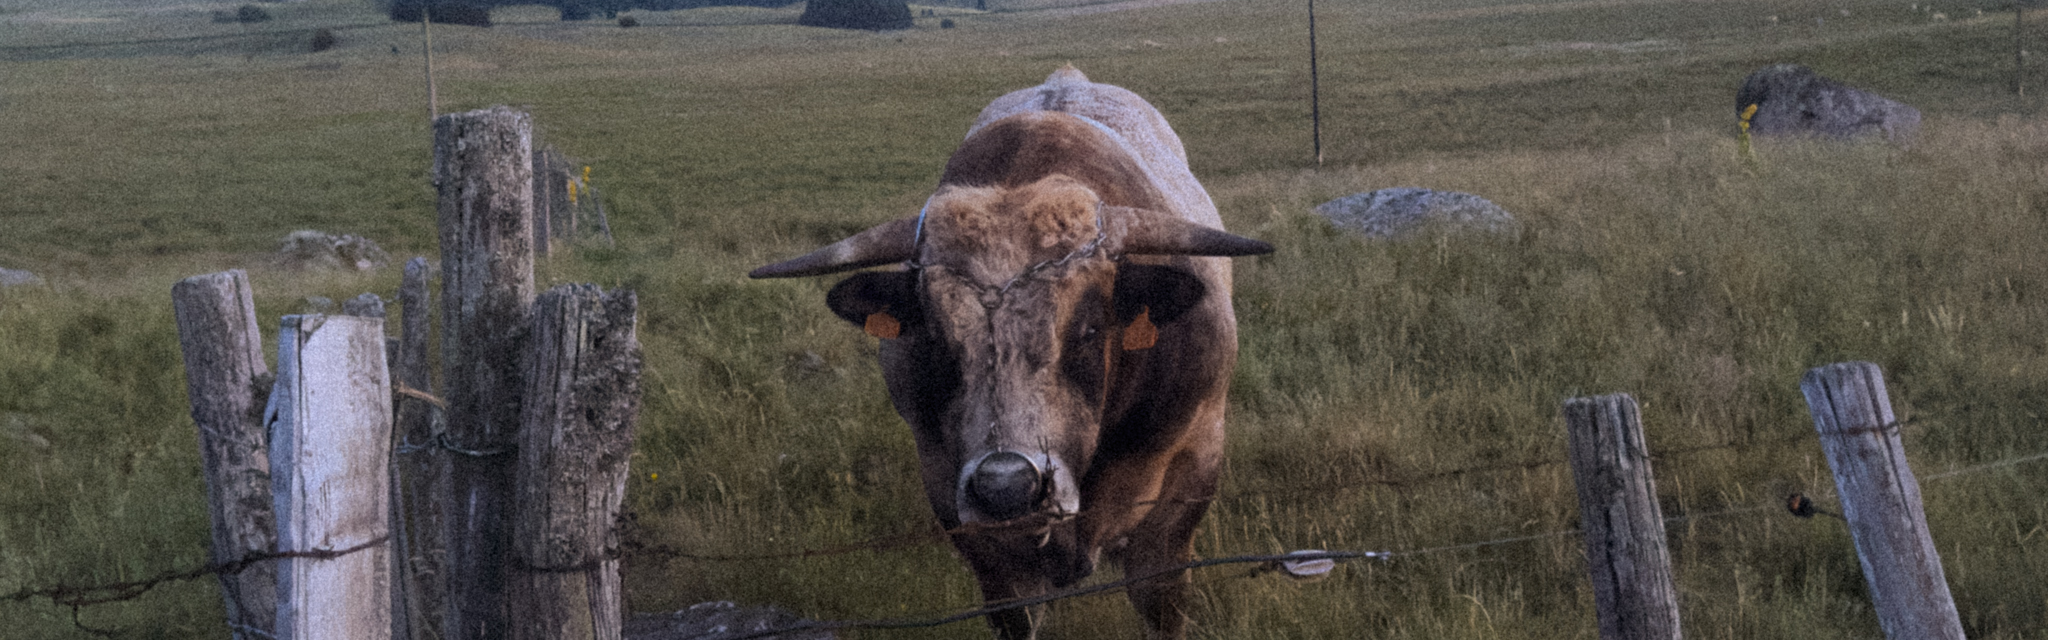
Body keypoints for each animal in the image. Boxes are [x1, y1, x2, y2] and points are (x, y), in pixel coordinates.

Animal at [749, 66, 1271, 640]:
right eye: (935, 337)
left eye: (1090, 329)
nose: (1007, 487)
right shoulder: (968, 520)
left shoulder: (1186, 485)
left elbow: (1160, 598)